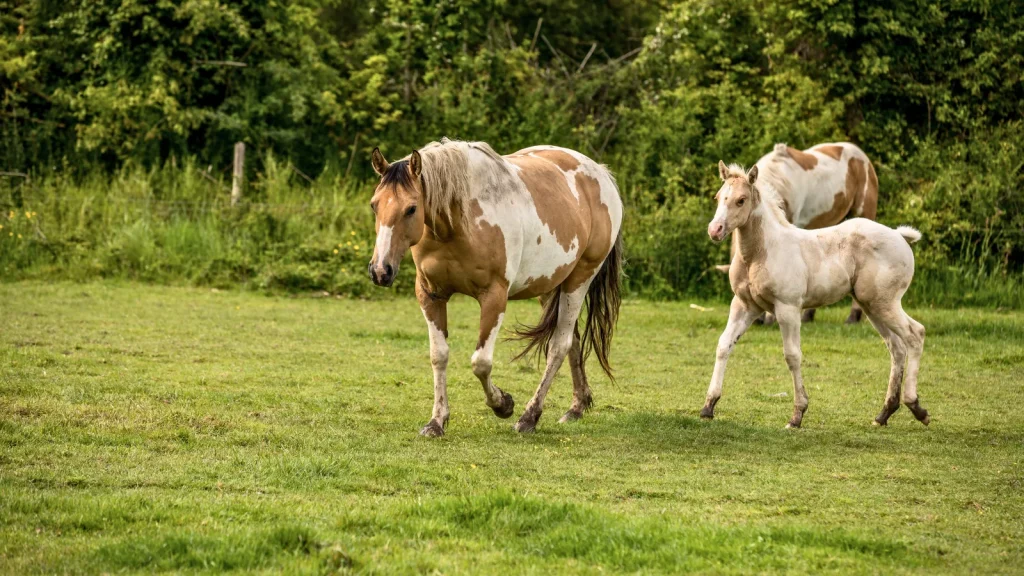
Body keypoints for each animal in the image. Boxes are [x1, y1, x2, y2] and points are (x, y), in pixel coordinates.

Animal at [368, 139, 622, 434]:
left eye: (411, 208)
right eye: (374, 205)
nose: (380, 270)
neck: (458, 222)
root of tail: (601, 173)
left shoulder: (494, 297)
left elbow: (481, 363)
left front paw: (503, 404)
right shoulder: (431, 295)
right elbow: (438, 355)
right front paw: (436, 421)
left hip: (579, 279)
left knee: (559, 345)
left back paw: (529, 417)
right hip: (550, 285)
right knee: (573, 341)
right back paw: (576, 407)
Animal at [720, 141, 880, 325]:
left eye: (741, 200)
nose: (757, 319)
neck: (780, 178)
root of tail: (864, 159)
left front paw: (771, 317)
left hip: (862, 215)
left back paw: (853, 316)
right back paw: (808, 315)